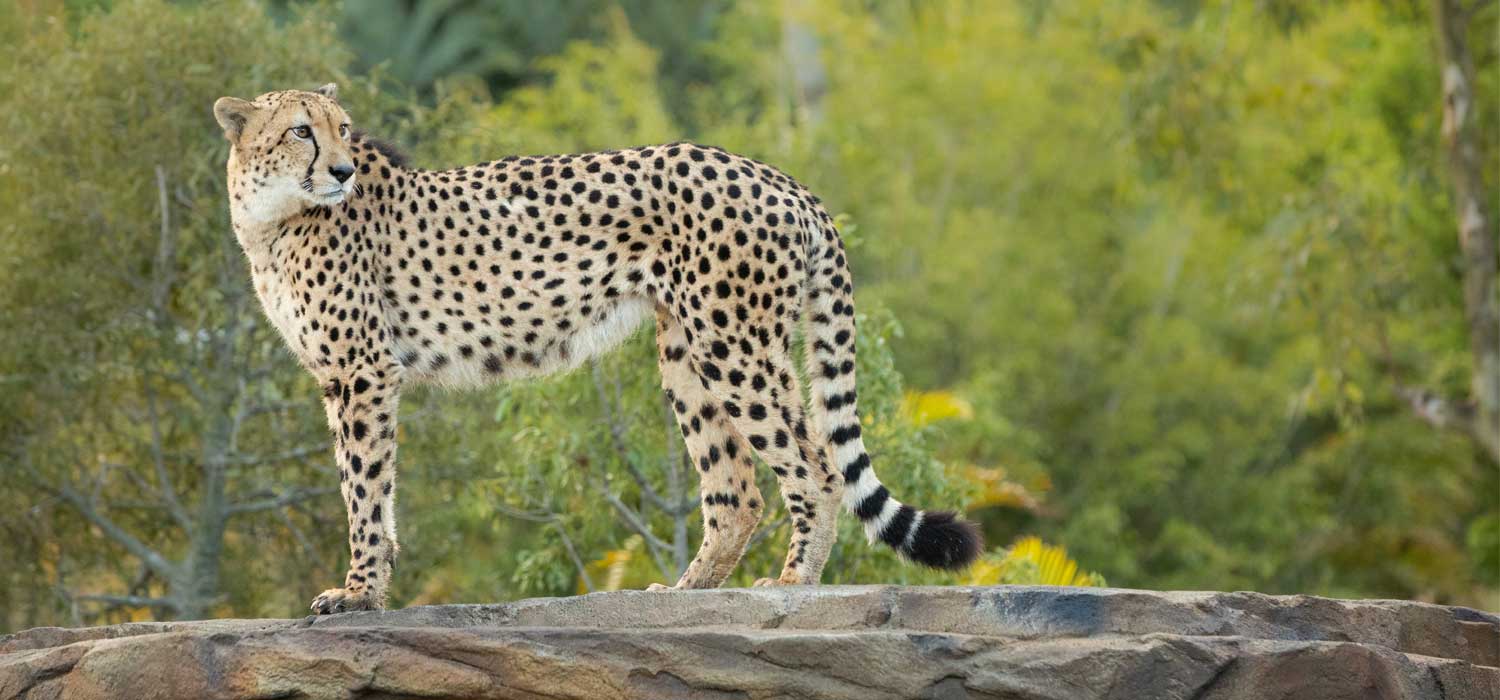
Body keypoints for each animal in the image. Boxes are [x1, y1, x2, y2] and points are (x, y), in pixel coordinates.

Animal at [214, 83, 984, 614]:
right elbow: (373, 488)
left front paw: (358, 594)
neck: (271, 216)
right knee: (737, 489)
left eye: (342, 130)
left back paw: (793, 581)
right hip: (688, 355)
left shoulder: (362, 370)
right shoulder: (346, 374)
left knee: (817, 465)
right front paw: (371, 587)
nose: (341, 170)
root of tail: (775, 175)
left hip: (734, 344)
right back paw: (688, 591)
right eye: (301, 131)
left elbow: (364, 490)